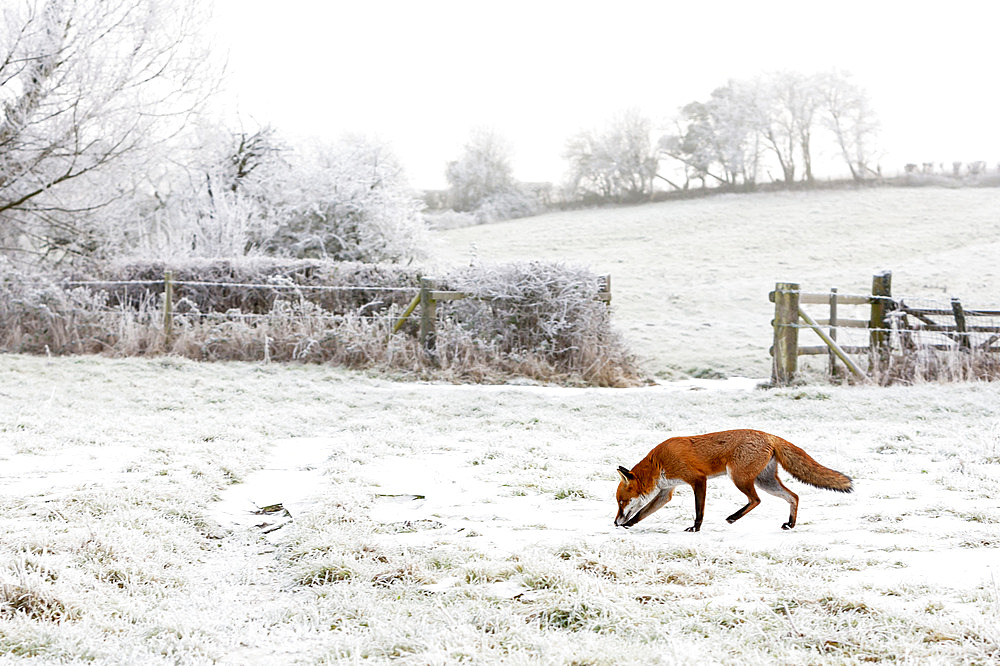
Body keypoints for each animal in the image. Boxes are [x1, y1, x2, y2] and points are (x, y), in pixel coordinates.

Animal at [616, 428, 852, 532]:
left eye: (621, 501)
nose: (615, 522)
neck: (658, 463)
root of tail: (769, 435)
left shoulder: (698, 480)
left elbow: (699, 510)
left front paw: (695, 528)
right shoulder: (666, 492)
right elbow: (642, 513)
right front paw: (628, 524)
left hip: (739, 478)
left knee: (756, 500)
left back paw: (733, 518)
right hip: (765, 482)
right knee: (794, 496)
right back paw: (791, 524)